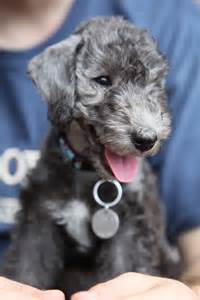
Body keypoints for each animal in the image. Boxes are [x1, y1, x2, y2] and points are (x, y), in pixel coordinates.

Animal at [1, 16, 177, 296]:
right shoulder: (37, 223)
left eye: (153, 82)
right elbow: (26, 271)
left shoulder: (129, 233)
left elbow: (123, 271)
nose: (146, 138)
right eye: (103, 80)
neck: (87, 172)